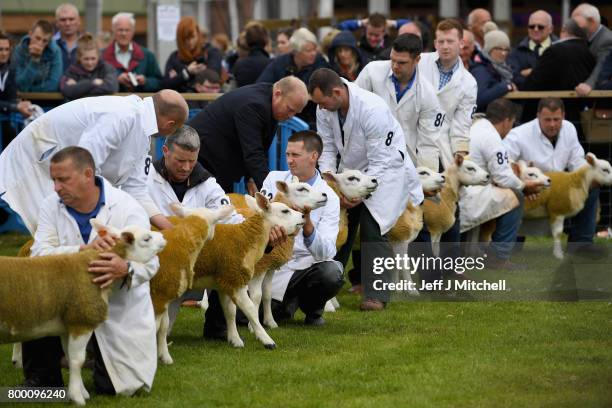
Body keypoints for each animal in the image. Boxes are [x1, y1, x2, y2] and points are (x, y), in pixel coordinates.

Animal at [148, 206, 234, 364]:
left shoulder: (164, 298)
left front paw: (164, 356)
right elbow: (154, 327)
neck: (182, 242)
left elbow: (163, 327)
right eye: (215, 222)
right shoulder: (158, 296)